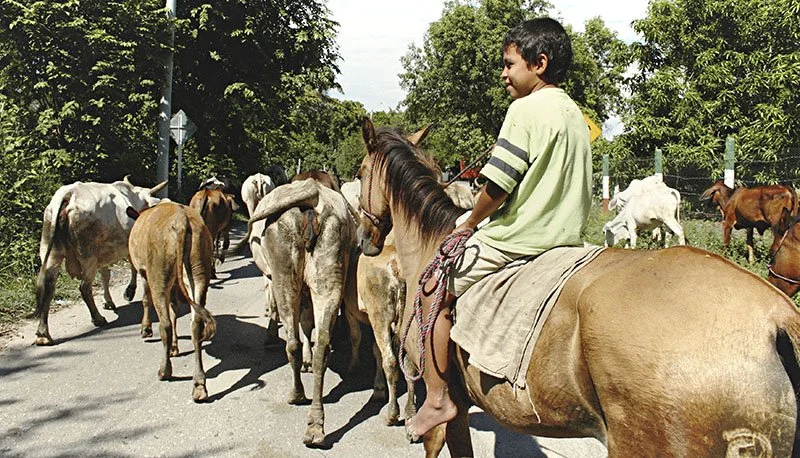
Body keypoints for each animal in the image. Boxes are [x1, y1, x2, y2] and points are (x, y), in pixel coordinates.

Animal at [31, 176, 166, 346]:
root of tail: (68, 195)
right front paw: (129, 292)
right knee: (84, 288)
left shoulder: (104, 253)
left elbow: (105, 275)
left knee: (48, 287)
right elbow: (131, 269)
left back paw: (43, 334)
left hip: (50, 253)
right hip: (88, 256)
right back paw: (97, 318)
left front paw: (109, 301)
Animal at [126, 201, 216, 402]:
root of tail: (181, 220)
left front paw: (146, 329)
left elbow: (146, 300)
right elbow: (175, 307)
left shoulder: (143, 271)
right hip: (199, 269)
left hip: (159, 274)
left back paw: (164, 370)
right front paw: (175, 347)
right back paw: (199, 384)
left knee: (165, 323)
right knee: (196, 323)